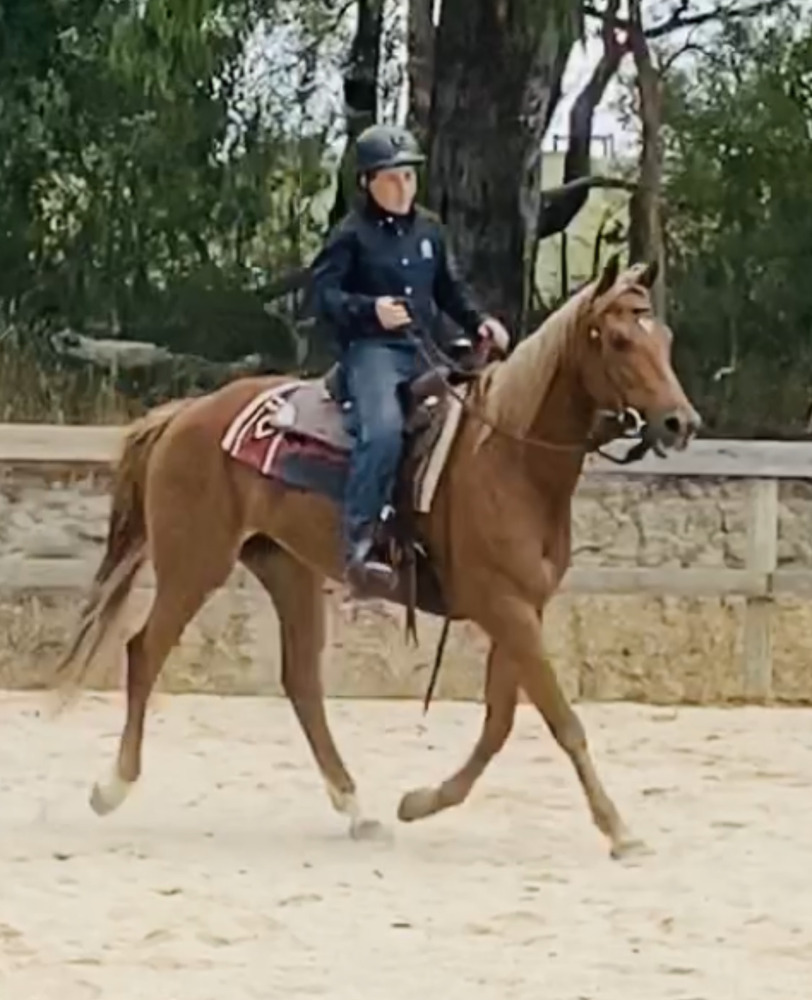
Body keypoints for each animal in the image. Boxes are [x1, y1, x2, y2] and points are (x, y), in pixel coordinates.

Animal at [53, 254, 701, 858]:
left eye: (665, 337)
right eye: (618, 339)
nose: (681, 422)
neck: (508, 457)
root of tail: (185, 413)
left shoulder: (522, 608)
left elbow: (500, 721)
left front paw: (420, 802)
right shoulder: (505, 606)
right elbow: (561, 719)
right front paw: (619, 830)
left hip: (286, 567)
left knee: (302, 681)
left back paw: (358, 809)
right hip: (194, 563)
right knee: (145, 651)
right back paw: (112, 786)